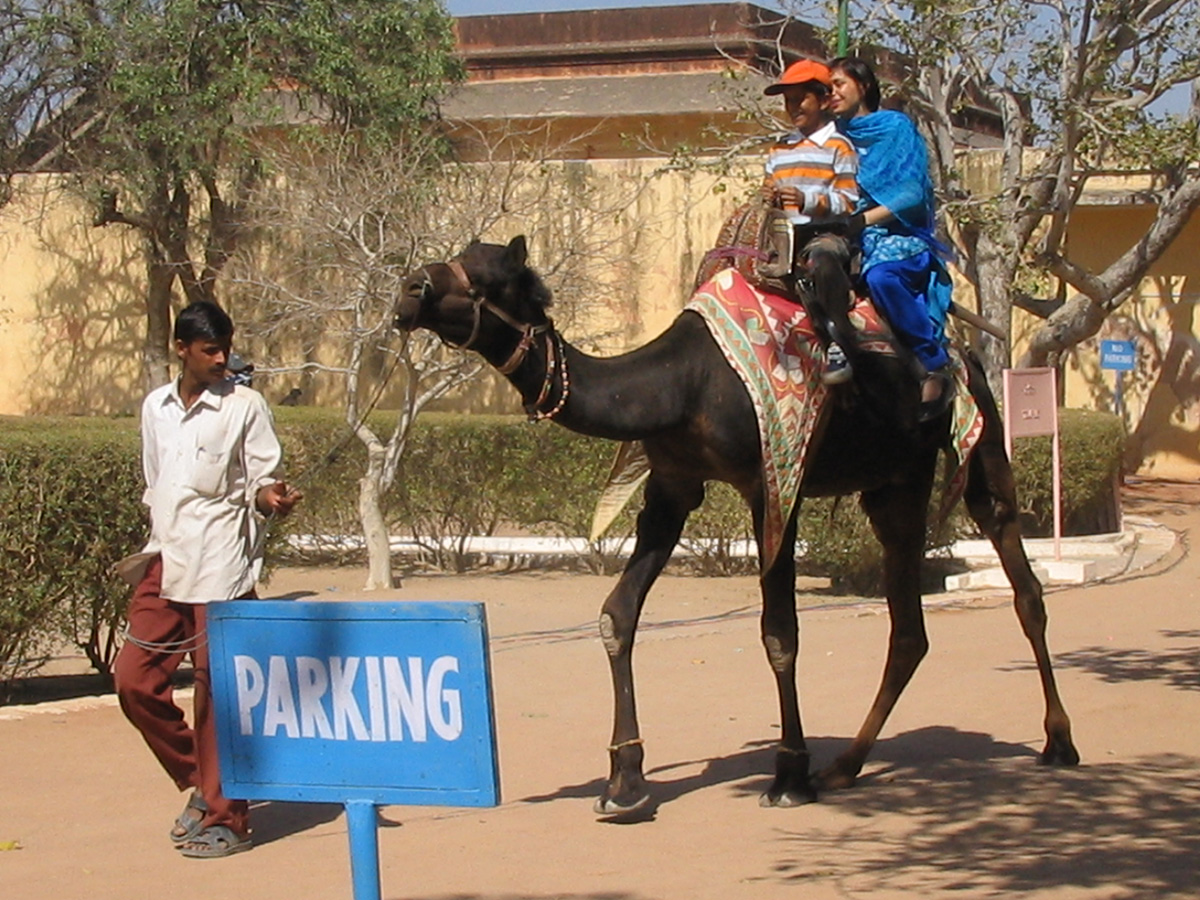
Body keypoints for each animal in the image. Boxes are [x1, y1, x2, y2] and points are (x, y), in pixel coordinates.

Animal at [393, 236, 1080, 816]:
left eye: (484, 276)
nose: (408, 288)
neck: (681, 385)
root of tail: (959, 349)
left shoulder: (773, 483)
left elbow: (780, 632)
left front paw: (789, 774)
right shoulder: (671, 485)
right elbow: (617, 615)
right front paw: (624, 782)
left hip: (976, 437)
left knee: (1021, 579)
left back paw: (1058, 742)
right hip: (893, 483)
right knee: (909, 628)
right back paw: (846, 766)